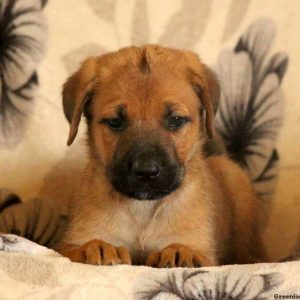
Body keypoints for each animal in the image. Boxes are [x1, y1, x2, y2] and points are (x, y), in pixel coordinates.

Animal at [59, 45, 268, 268]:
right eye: (115, 121)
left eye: (176, 119)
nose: (146, 172)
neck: (143, 208)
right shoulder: (70, 243)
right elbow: (83, 246)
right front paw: (98, 247)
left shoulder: (204, 252)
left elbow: (186, 248)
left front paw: (179, 251)